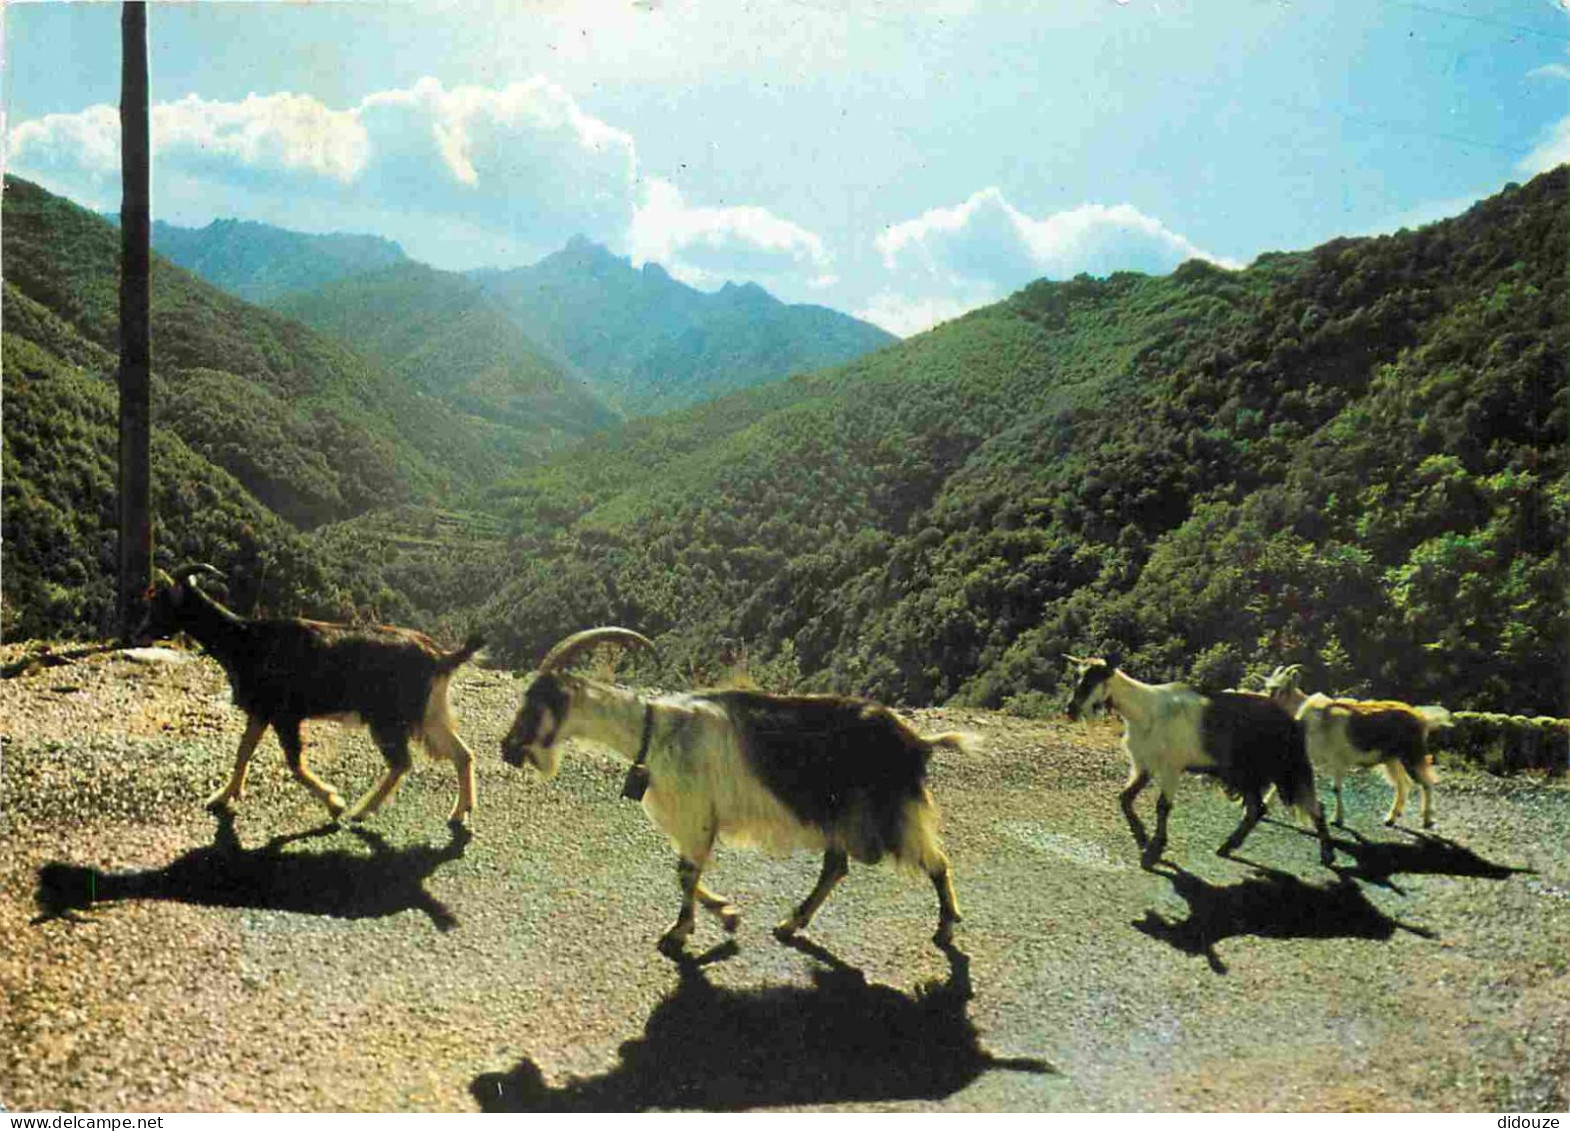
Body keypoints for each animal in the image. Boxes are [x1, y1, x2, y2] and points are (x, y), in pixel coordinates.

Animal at [137, 562, 480, 823]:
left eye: (159, 601)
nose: (139, 633)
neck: (245, 639)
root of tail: (440, 656)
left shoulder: (285, 715)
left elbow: (295, 764)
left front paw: (334, 803)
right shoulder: (261, 711)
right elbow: (243, 751)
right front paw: (222, 797)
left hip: (388, 719)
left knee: (402, 762)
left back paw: (361, 809)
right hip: (428, 713)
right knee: (462, 754)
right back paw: (459, 812)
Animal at [502, 628, 967, 955]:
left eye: (536, 702)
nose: (507, 748)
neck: (653, 731)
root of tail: (916, 742)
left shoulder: (695, 815)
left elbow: (686, 872)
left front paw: (679, 932)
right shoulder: (696, 820)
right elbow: (686, 871)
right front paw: (726, 915)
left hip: (890, 811)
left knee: (935, 862)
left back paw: (945, 928)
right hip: (841, 814)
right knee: (836, 867)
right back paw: (790, 924)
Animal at [1061, 659, 1331, 873]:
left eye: (1092, 680)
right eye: (1076, 678)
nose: (1070, 709)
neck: (1146, 710)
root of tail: (1293, 721)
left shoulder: (1172, 766)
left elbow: (1163, 807)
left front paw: (1153, 851)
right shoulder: (1144, 763)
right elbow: (1125, 798)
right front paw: (1143, 839)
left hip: (1284, 768)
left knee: (1313, 804)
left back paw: (1327, 855)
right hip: (1246, 773)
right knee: (1257, 809)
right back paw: (1226, 847)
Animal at [1256, 662, 1450, 829]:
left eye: (1279, 689)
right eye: (1267, 687)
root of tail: (1421, 718)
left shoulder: (1337, 760)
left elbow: (1336, 789)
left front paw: (1337, 820)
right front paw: (1264, 808)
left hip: (1411, 755)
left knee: (1426, 783)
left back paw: (1426, 821)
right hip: (1392, 759)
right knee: (1403, 784)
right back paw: (1390, 819)